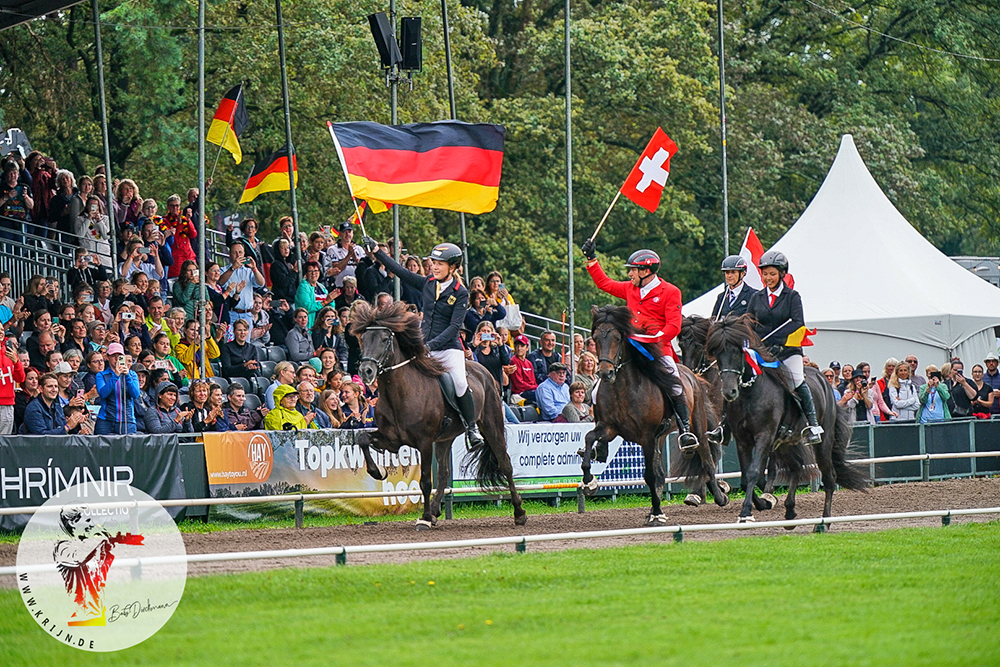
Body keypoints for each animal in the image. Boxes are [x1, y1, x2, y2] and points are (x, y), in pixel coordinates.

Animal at [352, 300, 528, 528]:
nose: (366, 371)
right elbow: (363, 438)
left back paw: (519, 512)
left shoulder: (425, 442)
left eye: (384, 339)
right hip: (445, 438)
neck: (399, 392)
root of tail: (484, 370)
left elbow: (426, 481)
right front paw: (378, 471)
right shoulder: (392, 440)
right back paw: (436, 511)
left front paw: (425, 518)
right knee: (444, 474)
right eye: (363, 339)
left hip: (491, 425)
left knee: (505, 464)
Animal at [580, 306, 728, 524]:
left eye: (617, 338)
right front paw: (589, 482)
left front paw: (657, 513)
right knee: (662, 473)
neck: (622, 389)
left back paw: (718, 497)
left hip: (696, 427)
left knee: (706, 458)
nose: (606, 373)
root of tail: (692, 375)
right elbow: (589, 437)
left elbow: (649, 475)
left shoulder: (647, 437)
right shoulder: (609, 428)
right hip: (661, 436)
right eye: (595, 338)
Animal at [704, 316, 868, 524]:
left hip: (823, 441)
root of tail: (824, 380)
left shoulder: (764, 436)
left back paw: (823, 522)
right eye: (717, 353)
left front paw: (746, 512)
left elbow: (753, 472)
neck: (750, 392)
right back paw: (790, 511)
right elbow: (745, 478)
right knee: (796, 467)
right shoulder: (742, 440)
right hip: (786, 442)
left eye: (736, 350)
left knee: (829, 477)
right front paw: (763, 503)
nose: (729, 392)